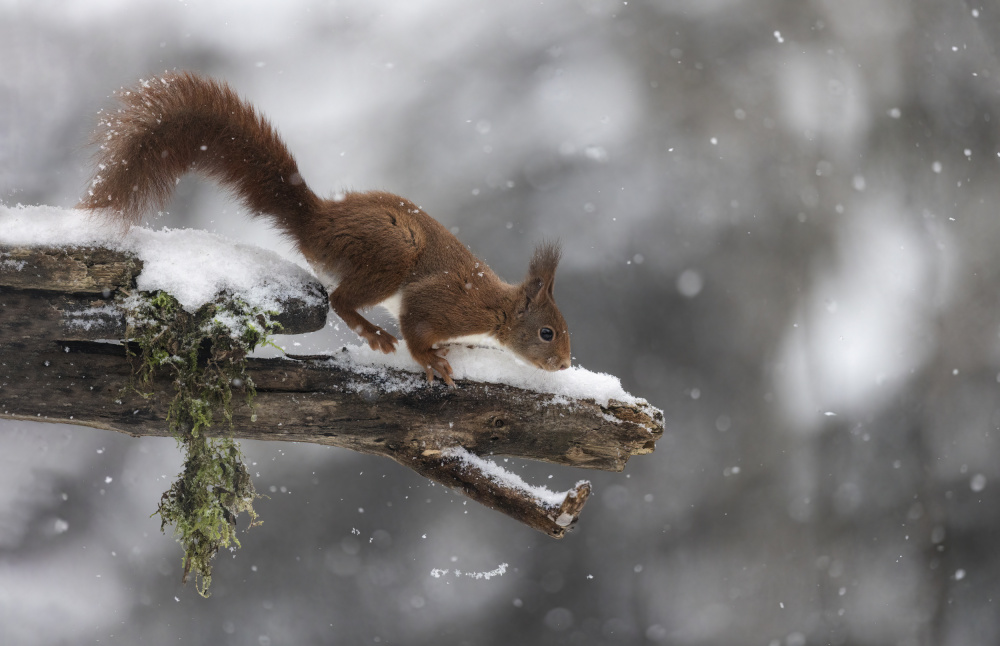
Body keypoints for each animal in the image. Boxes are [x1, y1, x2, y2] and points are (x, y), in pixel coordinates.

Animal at [80, 72, 572, 384]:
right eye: (547, 332)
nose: (566, 365)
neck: (497, 310)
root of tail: (318, 221)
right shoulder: (446, 304)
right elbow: (416, 326)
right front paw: (429, 360)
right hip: (391, 253)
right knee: (340, 300)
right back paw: (374, 334)